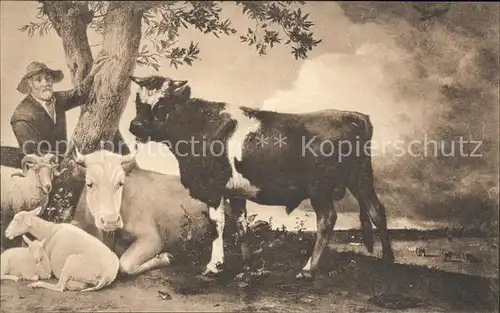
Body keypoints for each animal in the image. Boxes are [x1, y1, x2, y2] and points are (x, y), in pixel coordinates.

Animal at [70, 144, 211, 276]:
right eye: (89, 184)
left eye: (120, 183)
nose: (111, 221)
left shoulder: (153, 237)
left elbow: (124, 264)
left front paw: (164, 258)